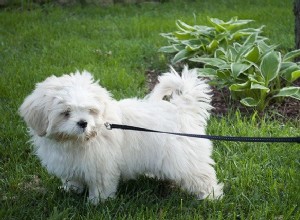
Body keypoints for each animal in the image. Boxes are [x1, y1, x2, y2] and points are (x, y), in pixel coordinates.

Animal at [19, 66, 223, 204]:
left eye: (90, 110)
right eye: (66, 113)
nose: (83, 123)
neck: (78, 140)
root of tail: (182, 108)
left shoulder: (100, 165)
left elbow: (101, 185)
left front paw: (97, 202)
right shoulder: (71, 163)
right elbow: (73, 178)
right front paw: (71, 190)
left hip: (185, 158)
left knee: (201, 175)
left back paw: (210, 196)